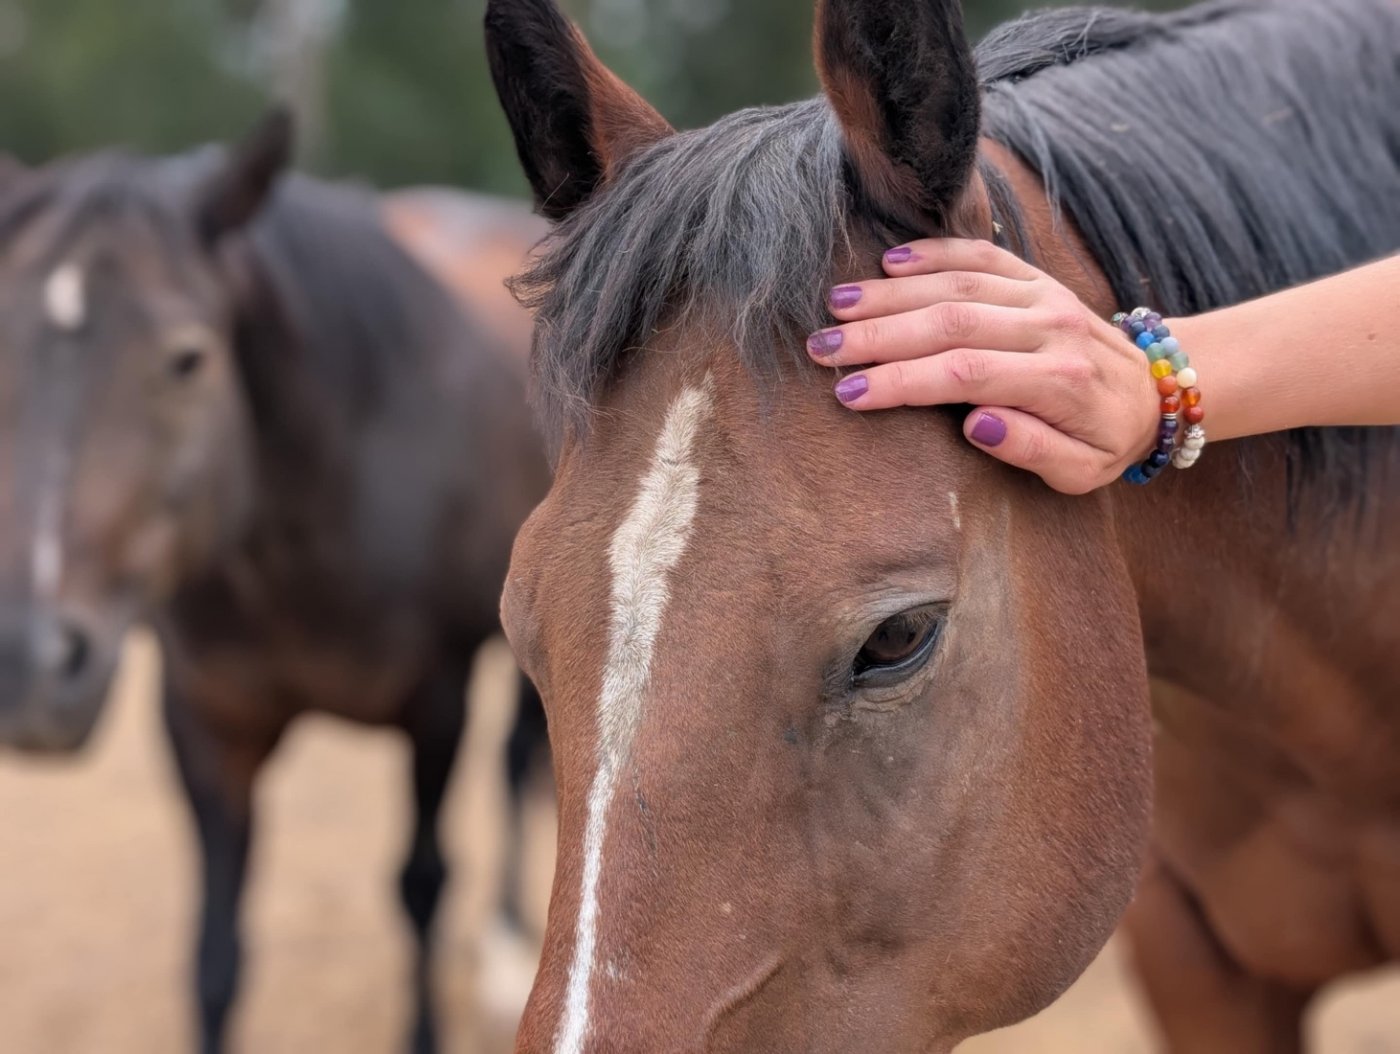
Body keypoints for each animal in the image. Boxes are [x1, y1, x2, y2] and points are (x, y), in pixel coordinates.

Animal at [0, 115, 552, 1053]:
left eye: (188, 359)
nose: (29, 663)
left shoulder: (434, 704)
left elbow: (421, 885)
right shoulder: (206, 724)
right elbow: (214, 955)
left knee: (519, 760)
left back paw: (511, 947)